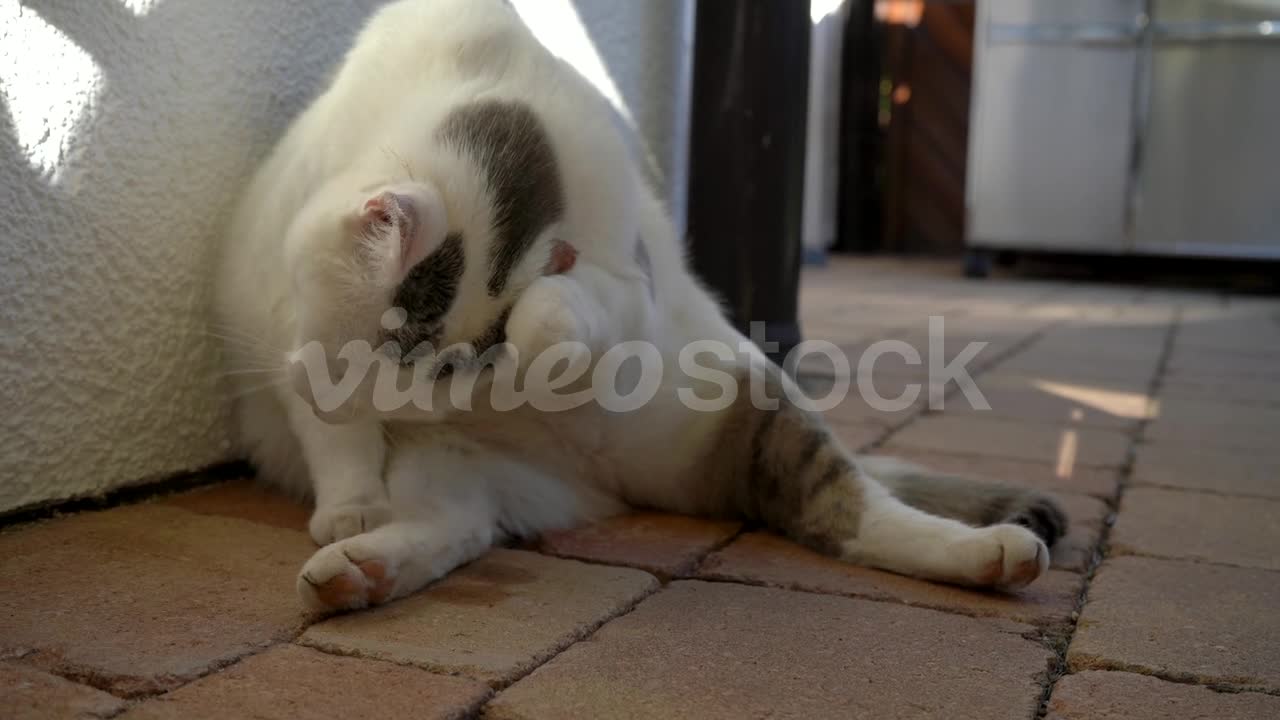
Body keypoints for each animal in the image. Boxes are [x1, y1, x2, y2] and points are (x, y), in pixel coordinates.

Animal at [215, 0, 1064, 609]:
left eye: (447, 368)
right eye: (393, 342)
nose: (427, 393)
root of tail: (613, 481)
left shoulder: (628, 282)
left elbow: (555, 307)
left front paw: (539, 353)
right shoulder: (276, 327)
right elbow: (337, 439)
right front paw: (353, 503)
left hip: (751, 405)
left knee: (853, 507)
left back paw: (992, 553)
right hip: (448, 461)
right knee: (459, 525)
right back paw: (358, 570)